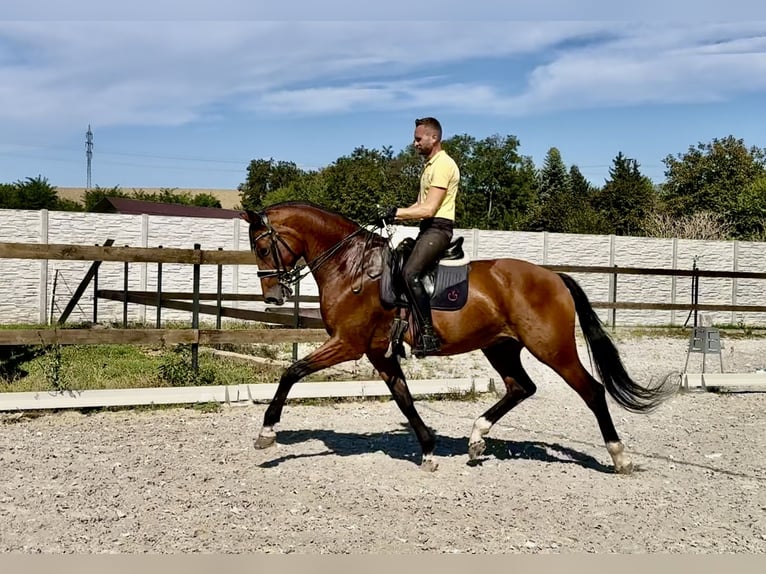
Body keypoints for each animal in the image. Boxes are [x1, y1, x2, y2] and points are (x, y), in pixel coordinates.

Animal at [242, 201, 680, 472]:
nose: (273, 296)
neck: (351, 267)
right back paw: (476, 438)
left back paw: (619, 457)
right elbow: (404, 399)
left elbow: (292, 372)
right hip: (500, 346)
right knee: (520, 387)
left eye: (262, 247)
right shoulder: (379, 353)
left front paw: (267, 433)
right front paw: (428, 449)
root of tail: (554, 276)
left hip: (551, 348)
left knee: (591, 390)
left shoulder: (349, 345)